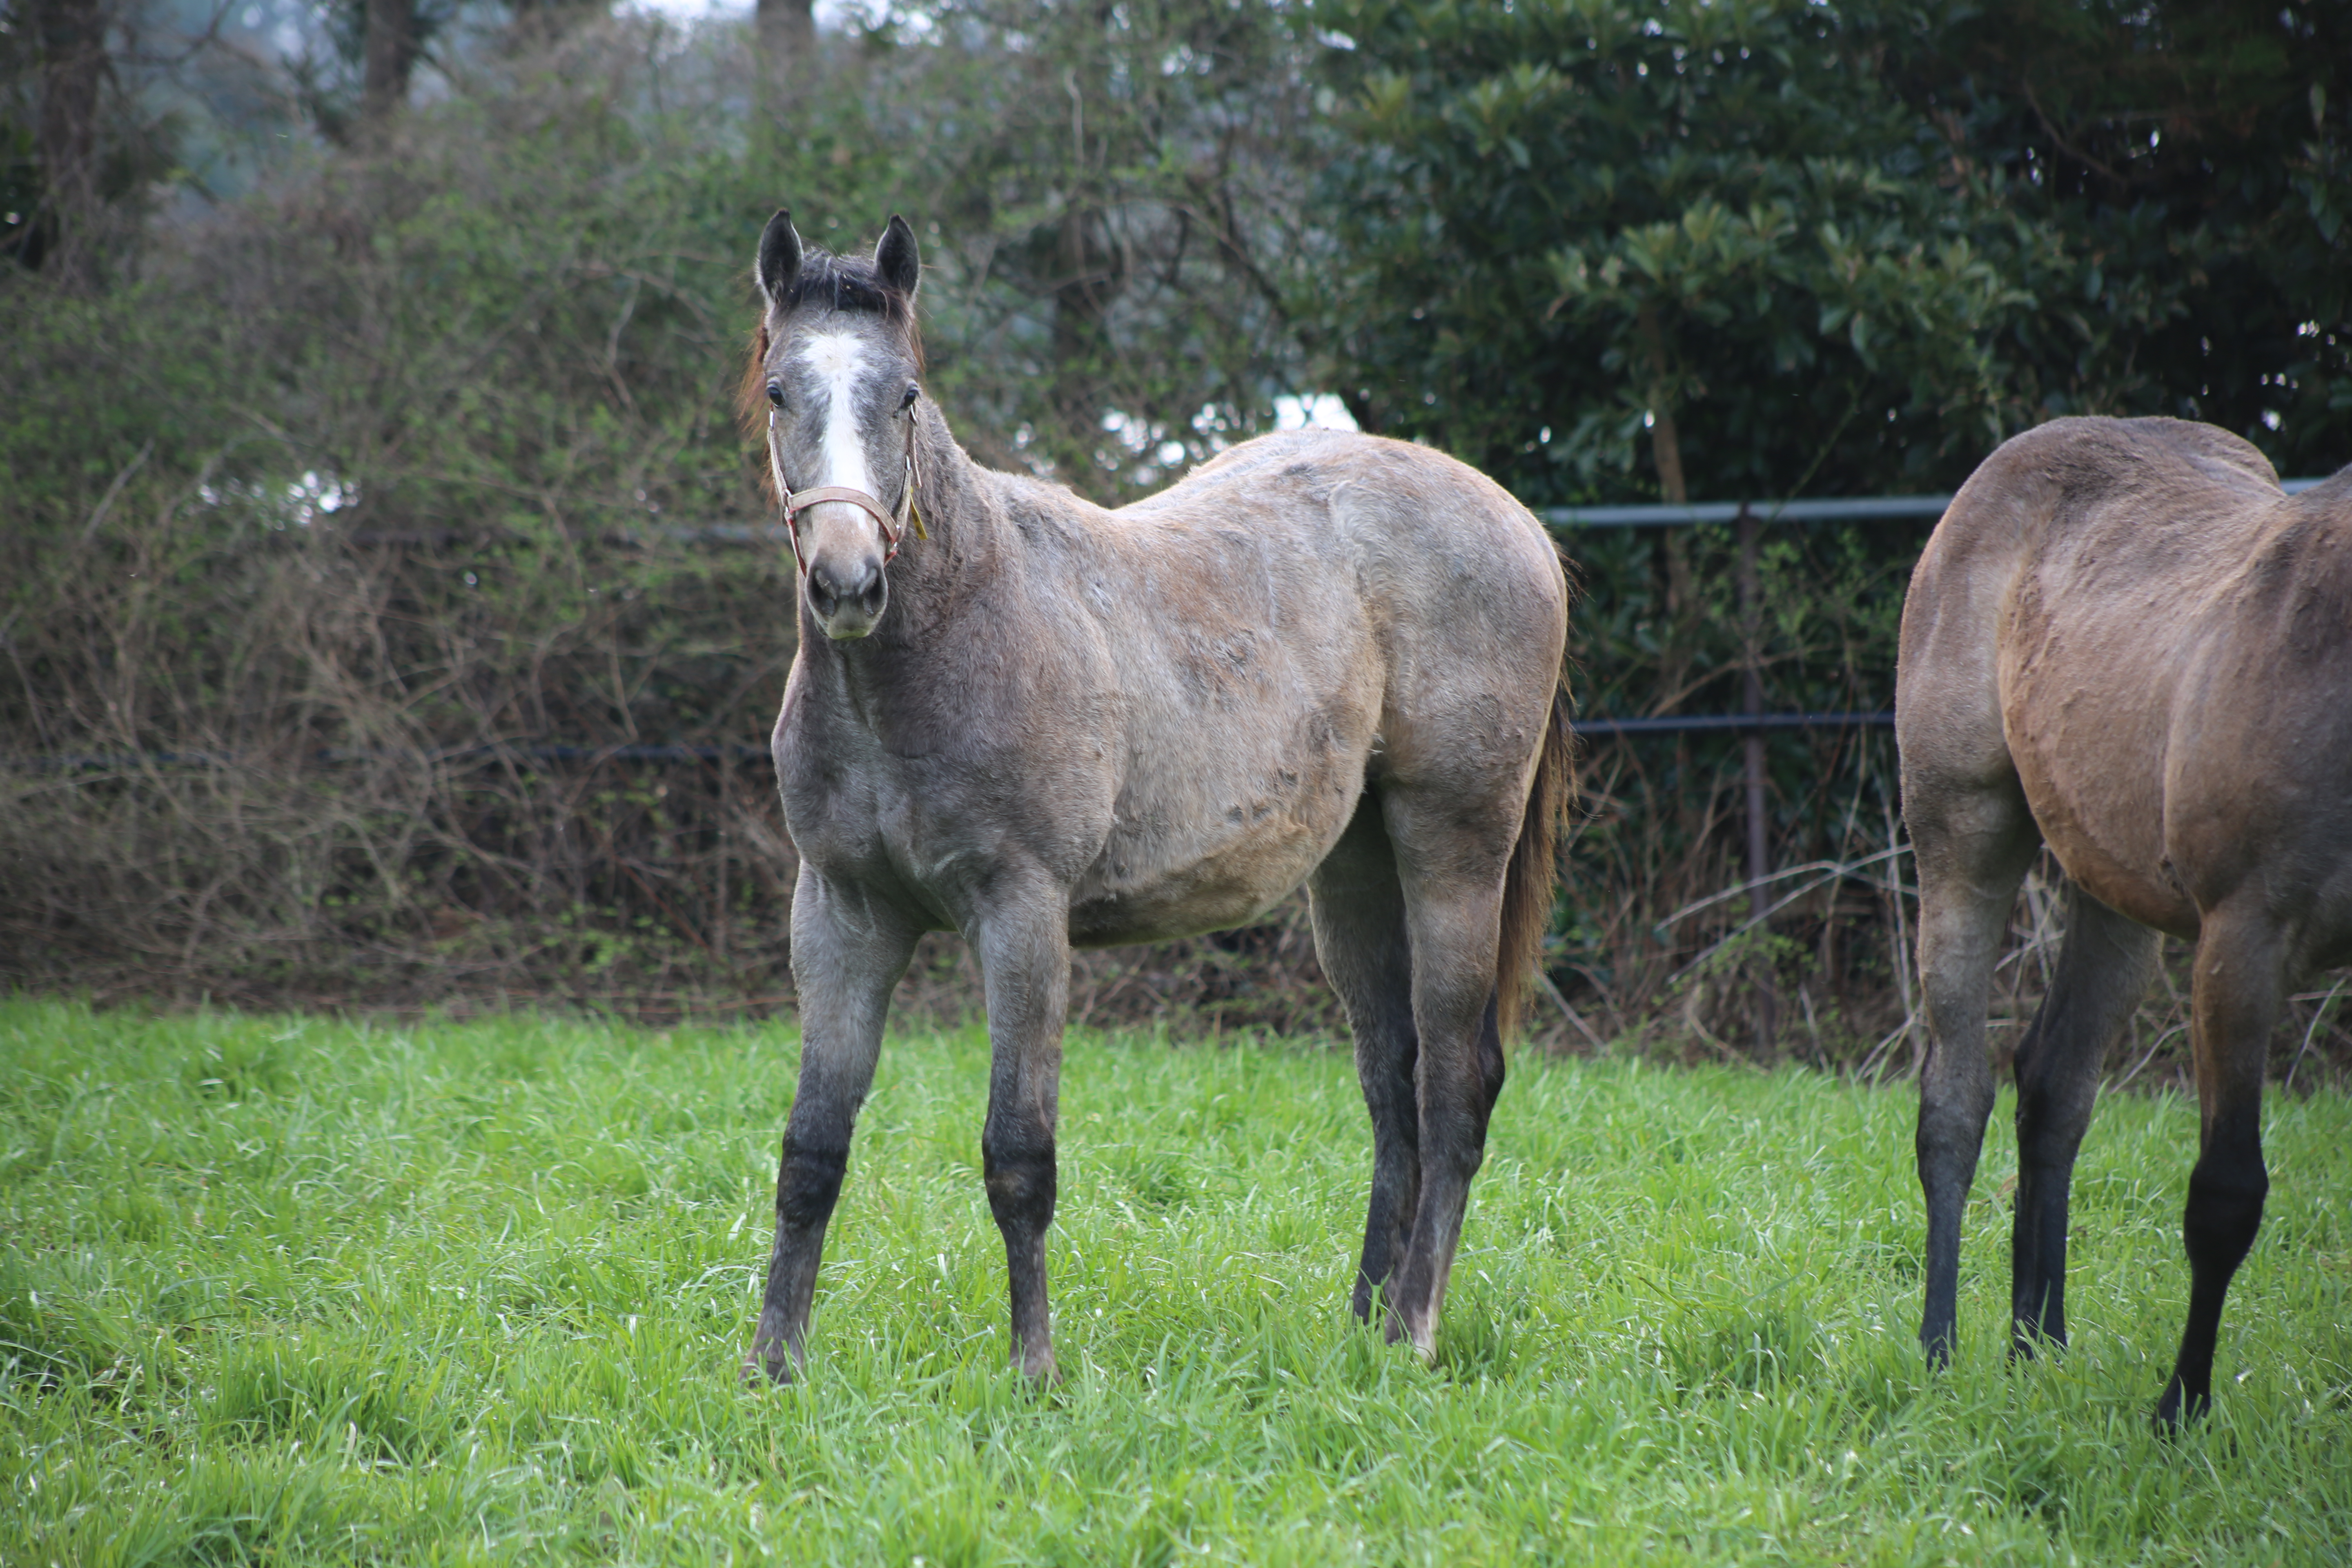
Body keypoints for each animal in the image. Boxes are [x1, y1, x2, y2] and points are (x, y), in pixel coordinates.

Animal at [734, 212, 1580, 1382]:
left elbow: (1018, 1157)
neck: (941, 646)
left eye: (903, 395)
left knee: (1456, 1083)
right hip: (1353, 872)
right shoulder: (842, 915)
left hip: (1453, 847)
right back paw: (1358, 1331)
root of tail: (1516, 521)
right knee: (1391, 1088)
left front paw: (1034, 1372)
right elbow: (812, 1150)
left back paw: (1410, 1329)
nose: (849, 582)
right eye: (780, 391)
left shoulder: (1022, 915)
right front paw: (772, 1370)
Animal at [1900, 414, 2342, 1420]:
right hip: (1964, 831)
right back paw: (1941, 1352)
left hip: (2114, 892)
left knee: (2056, 1088)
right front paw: (2180, 1410)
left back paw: (2037, 1349)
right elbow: (2226, 1194)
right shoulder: (2246, 935)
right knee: (1956, 1099)